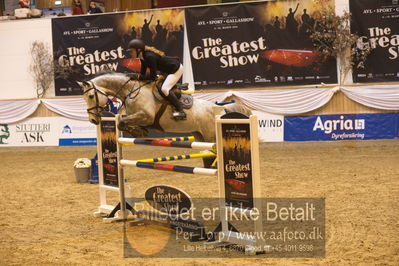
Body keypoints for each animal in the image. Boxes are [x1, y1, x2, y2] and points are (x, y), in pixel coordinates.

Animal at [77, 71, 252, 142]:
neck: (132, 91)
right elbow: (123, 120)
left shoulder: (146, 116)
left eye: (91, 96)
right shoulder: (138, 117)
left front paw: (138, 132)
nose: (93, 120)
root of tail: (222, 109)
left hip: (212, 136)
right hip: (199, 136)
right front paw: (139, 132)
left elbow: (121, 121)